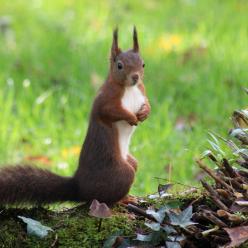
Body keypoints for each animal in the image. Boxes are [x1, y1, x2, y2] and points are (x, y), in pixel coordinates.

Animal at [0, 26, 151, 205]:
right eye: (119, 65)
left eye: (143, 64)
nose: (135, 77)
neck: (129, 88)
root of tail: (79, 188)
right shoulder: (106, 100)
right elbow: (110, 111)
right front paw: (131, 117)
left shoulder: (141, 91)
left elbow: (147, 103)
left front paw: (145, 113)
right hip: (120, 173)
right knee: (107, 195)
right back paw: (123, 199)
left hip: (130, 162)